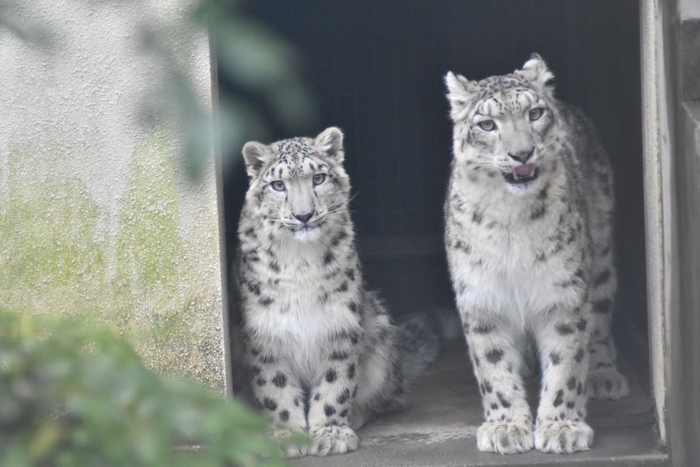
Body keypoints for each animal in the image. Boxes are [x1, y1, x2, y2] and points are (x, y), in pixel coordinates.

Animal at [232, 127, 438, 458]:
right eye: (278, 185)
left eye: (318, 178)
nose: (304, 215)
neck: (300, 260)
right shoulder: (266, 331)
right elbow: (276, 387)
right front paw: (288, 436)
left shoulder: (339, 323)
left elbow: (335, 382)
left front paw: (330, 433)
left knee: (391, 398)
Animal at [446, 54, 632, 454]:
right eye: (487, 124)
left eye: (534, 113)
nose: (521, 153)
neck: (511, 219)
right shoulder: (481, 295)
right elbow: (492, 364)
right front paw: (505, 425)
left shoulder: (563, 291)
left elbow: (566, 361)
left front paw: (561, 426)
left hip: (601, 255)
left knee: (601, 314)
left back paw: (604, 374)